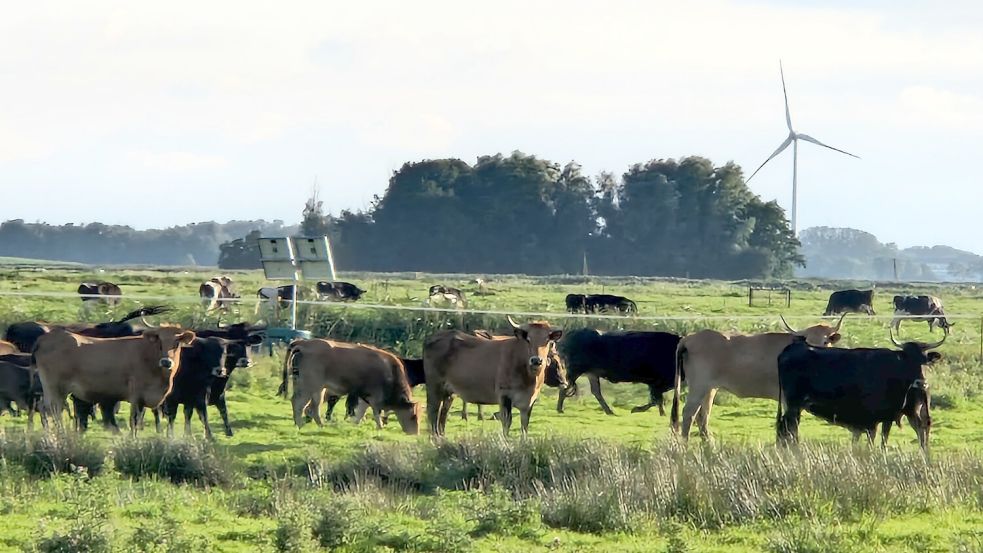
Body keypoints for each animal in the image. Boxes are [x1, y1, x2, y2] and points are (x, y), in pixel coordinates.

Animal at [31, 326, 196, 434]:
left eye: (177, 343)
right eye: (159, 342)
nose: (166, 362)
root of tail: (46, 337)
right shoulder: (136, 396)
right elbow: (134, 420)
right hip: (55, 388)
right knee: (53, 410)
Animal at [278, 338, 420, 434]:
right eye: (413, 416)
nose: (415, 433)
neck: (390, 370)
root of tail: (304, 343)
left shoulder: (364, 396)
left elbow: (361, 411)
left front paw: (356, 423)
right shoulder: (375, 397)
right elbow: (375, 412)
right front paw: (380, 426)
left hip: (318, 389)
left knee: (313, 407)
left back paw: (320, 425)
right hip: (309, 387)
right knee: (298, 403)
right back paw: (299, 424)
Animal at [422, 314, 560, 436]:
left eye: (547, 340)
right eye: (528, 339)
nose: (536, 360)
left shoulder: (529, 401)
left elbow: (524, 426)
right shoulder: (504, 396)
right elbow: (507, 423)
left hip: (449, 392)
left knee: (443, 415)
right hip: (434, 387)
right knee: (433, 413)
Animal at [672, 314, 848, 440]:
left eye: (825, 341)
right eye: (808, 341)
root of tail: (690, 337)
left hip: (710, 389)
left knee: (702, 416)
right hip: (699, 387)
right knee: (689, 414)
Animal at [772, 328, 940, 448]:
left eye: (924, 361)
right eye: (908, 359)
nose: (921, 383)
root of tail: (793, 347)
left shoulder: (887, 415)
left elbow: (882, 439)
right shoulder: (872, 416)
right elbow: (873, 438)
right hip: (793, 405)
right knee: (788, 428)